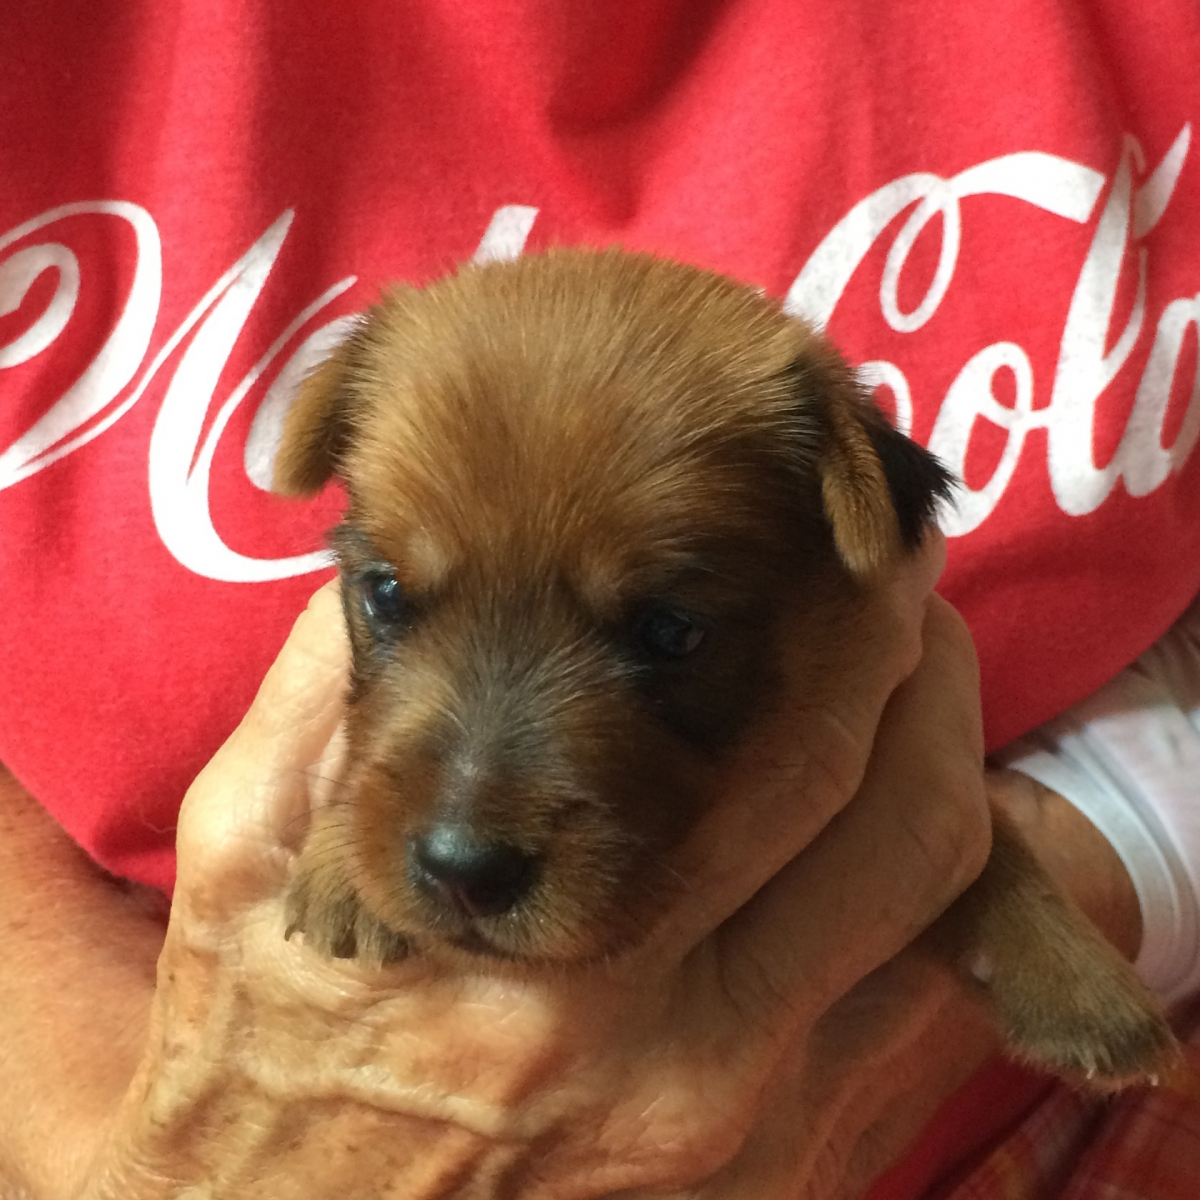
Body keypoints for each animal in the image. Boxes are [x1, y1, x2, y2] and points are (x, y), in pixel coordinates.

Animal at [274, 247, 1175, 1087]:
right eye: (386, 593)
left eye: (671, 632)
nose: (463, 873)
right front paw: (337, 872)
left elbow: (992, 833)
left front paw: (1079, 980)